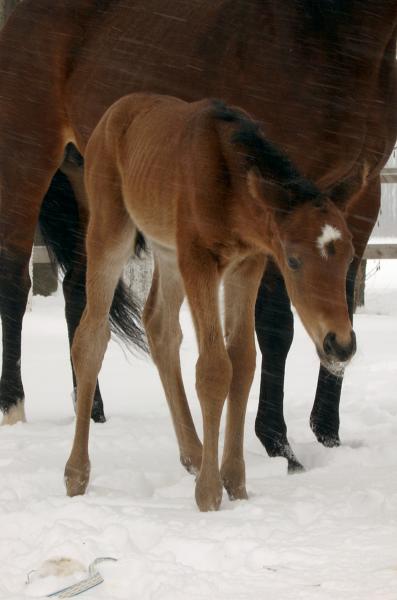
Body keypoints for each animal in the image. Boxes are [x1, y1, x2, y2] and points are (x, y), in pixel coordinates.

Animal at [0, 0, 394, 468]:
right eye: (294, 259)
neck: (330, 34)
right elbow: (277, 327)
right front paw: (278, 445)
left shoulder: (362, 200)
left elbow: (341, 303)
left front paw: (328, 435)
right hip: (27, 161)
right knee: (14, 284)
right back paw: (13, 405)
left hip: (90, 186)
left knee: (79, 292)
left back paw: (92, 408)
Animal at [65, 94, 356, 510]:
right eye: (294, 261)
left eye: (349, 257)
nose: (341, 344)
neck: (231, 190)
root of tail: (116, 111)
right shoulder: (199, 260)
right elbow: (215, 368)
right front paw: (209, 494)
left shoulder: (247, 263)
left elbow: (244, 360)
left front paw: (235, 483)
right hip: (110, 229)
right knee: (90, 337)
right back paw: (76, 474)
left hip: (167, 251)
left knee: (160, 326)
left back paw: (195, 454)